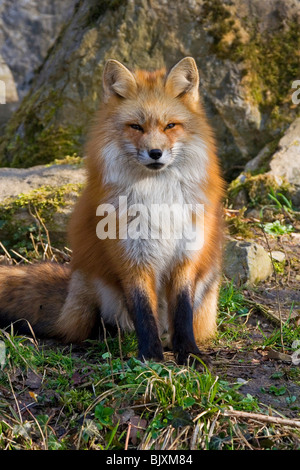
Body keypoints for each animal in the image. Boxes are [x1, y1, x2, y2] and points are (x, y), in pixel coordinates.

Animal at [0, 57, 225, 364]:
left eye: (170, 125)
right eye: (136, 127)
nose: (155, 153)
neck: (157, 194)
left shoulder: (186, 256)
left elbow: (182, 313)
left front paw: (189, 354)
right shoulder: (131, 256)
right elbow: (143, 313)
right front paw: (150, 360)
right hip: (90, 293)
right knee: (88, 327)